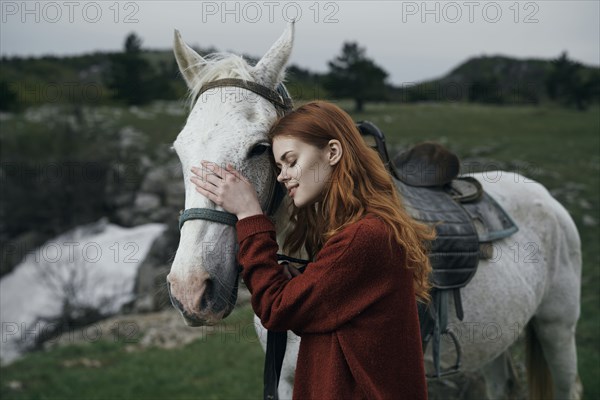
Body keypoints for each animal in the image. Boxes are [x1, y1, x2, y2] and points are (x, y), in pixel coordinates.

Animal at [164, 23, 580, 398]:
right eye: (179, 149)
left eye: (259, 148)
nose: (190, 289)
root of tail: (543, 194)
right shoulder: (284, 381)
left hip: (557, 329)